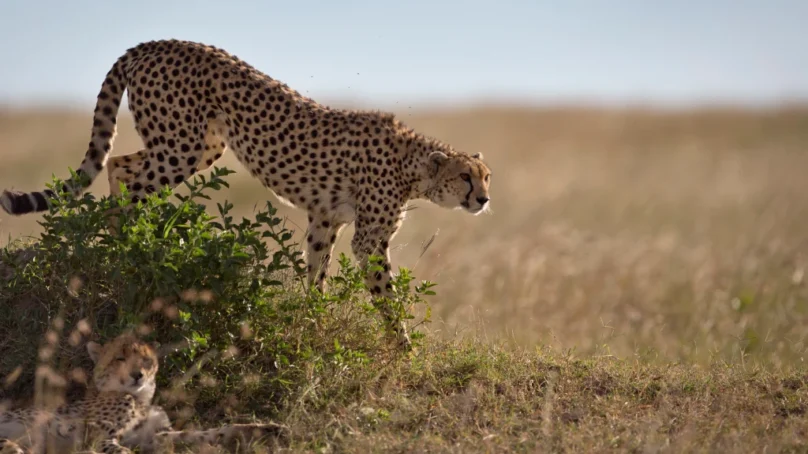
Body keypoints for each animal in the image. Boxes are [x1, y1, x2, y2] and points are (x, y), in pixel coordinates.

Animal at [0, 39, 493, 347]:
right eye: (466, 177)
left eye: (487, 176)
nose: (484, 200)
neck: (413, 165)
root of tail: (155, 43)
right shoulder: (368, 240)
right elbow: (386, 296)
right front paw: (401, 346)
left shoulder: (325, 220)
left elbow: (316, 274)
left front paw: (312, 321)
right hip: (181, 147)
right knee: (126, 181)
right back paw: (127, 244)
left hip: (202, 146)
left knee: (120, 165)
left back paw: (136, 238)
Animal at [0, 332, 278, 453]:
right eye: (120, 358)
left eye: (145, 359)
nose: (137, 375)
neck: (140, 399)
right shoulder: (97, 436)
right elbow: (119, 450)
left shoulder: (152, 437)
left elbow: (205, 433)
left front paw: (264, 429)